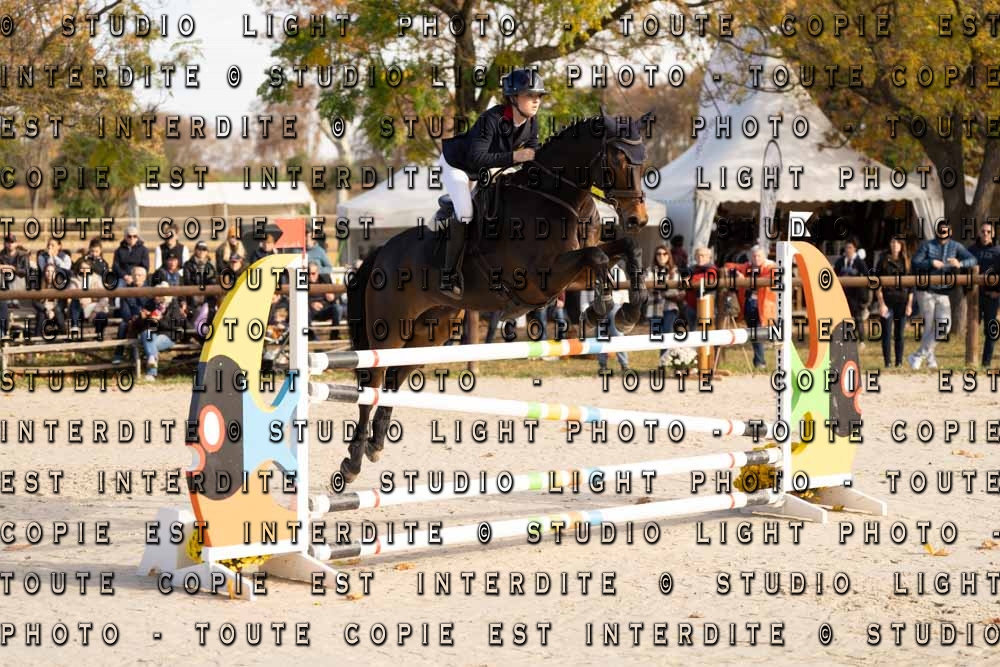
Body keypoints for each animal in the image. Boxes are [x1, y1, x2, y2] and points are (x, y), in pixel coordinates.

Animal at [340, 109, 653, 483]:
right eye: (618, 159)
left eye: (643, 160)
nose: (638, 219)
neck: (559, 198)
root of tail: (380, 254)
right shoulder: (540, 279)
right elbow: (598, 257)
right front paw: (600, 310)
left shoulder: (573, 269)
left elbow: (625, 249)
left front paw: (628, 312)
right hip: (388, 330)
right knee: (372, 381)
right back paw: (352, 461)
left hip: (430, 331)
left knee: (395, 378)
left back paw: (375, 444)